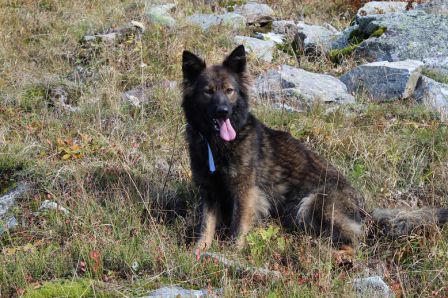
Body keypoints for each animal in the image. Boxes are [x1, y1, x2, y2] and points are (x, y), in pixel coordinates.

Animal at [181, 44, 448, 249]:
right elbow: (206, 226)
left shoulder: (245, 192)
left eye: (229, 91)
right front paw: (199, 252)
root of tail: (366, 210)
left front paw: (231, 253)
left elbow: (238, 227)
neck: (215, 145)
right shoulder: (210, 191)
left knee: (357, 240)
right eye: (208, 92)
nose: (223, 111)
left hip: (314, 202)